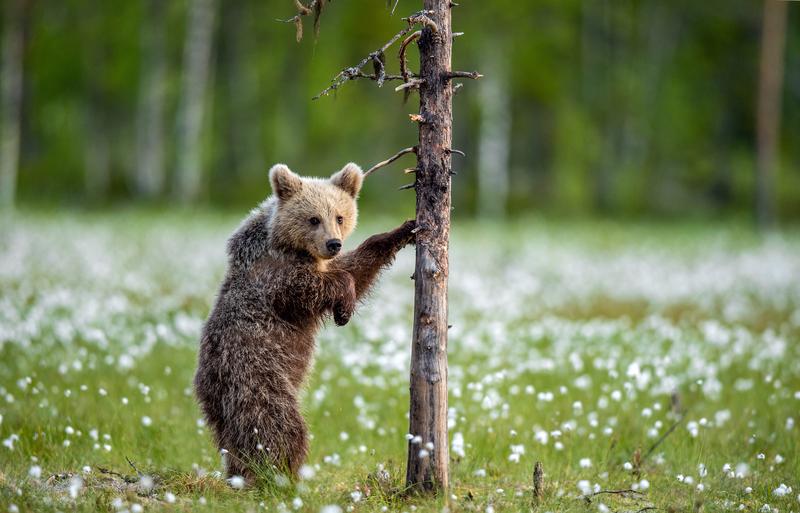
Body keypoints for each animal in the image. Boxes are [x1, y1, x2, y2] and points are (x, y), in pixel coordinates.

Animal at [193, 162, 416, 483]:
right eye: (313, 219)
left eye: (339, 216)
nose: (333, 243)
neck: (290, 246)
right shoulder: (274, 279)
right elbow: (310, 287)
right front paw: (343, 308)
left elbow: (356, 266)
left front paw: (403, 230)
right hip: (256, 373)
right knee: (274, 424)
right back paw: (280, 475)